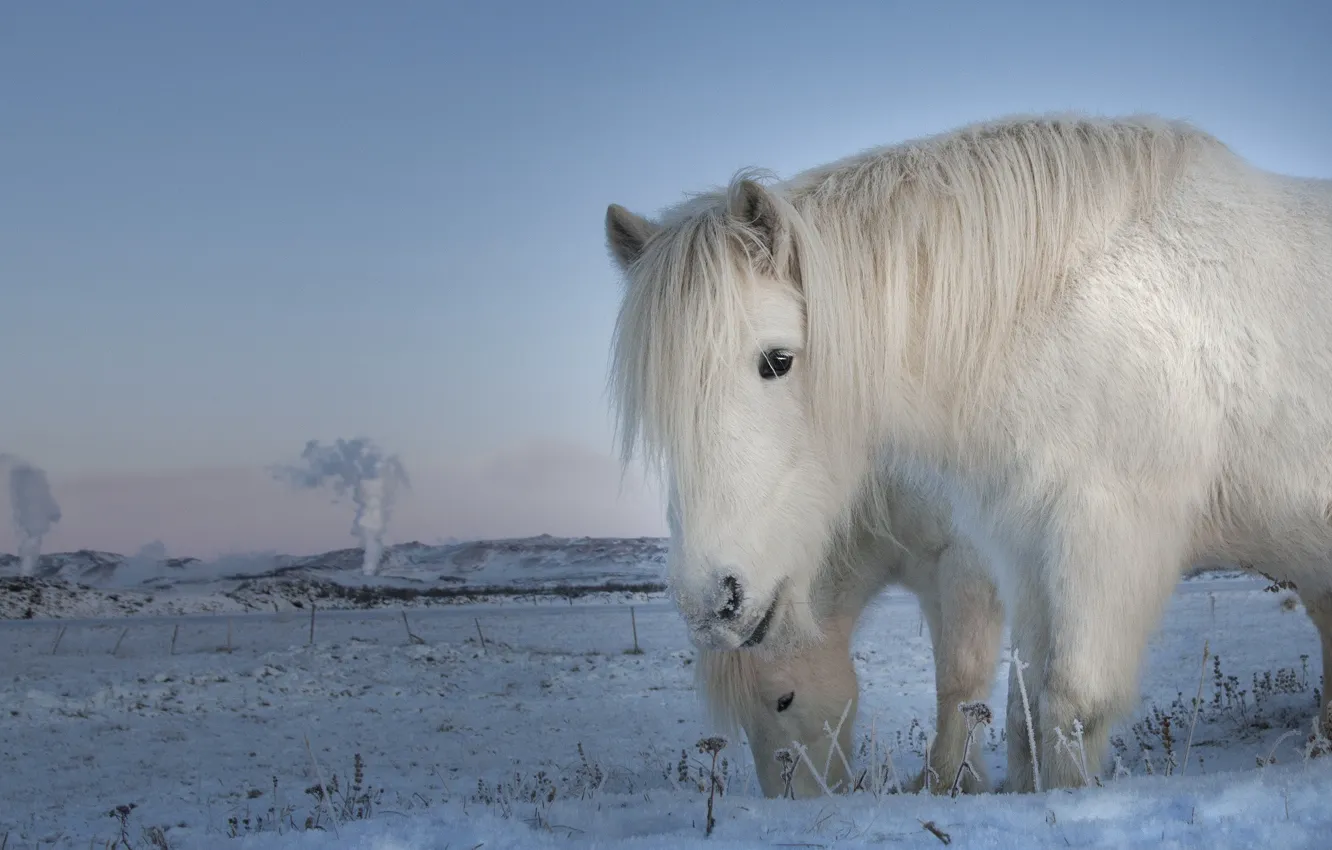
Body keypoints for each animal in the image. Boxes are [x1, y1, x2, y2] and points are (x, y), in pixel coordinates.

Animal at [694, 466, 1005, 798]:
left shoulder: (970, 562)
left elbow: (960, 679)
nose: (790, 798)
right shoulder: (932, 585)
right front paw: (971, 780)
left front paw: (940, 784)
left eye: (785, 700)